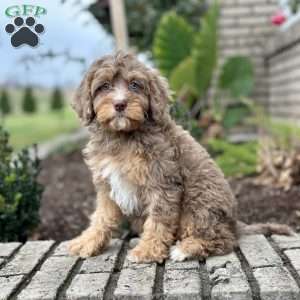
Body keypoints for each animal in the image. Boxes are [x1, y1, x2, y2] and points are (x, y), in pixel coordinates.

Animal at [68, 51, 292, 262]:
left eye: (135, 85)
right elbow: (102, 216)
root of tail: (234, 224)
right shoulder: (106, 184)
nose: (120, 104)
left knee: (224, 240)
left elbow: (158, 219)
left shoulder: (162, 181)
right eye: (104, 86)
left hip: (200, 205)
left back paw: (186, 249)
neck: (123, 136)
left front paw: (147, 250)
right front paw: (87, 241)